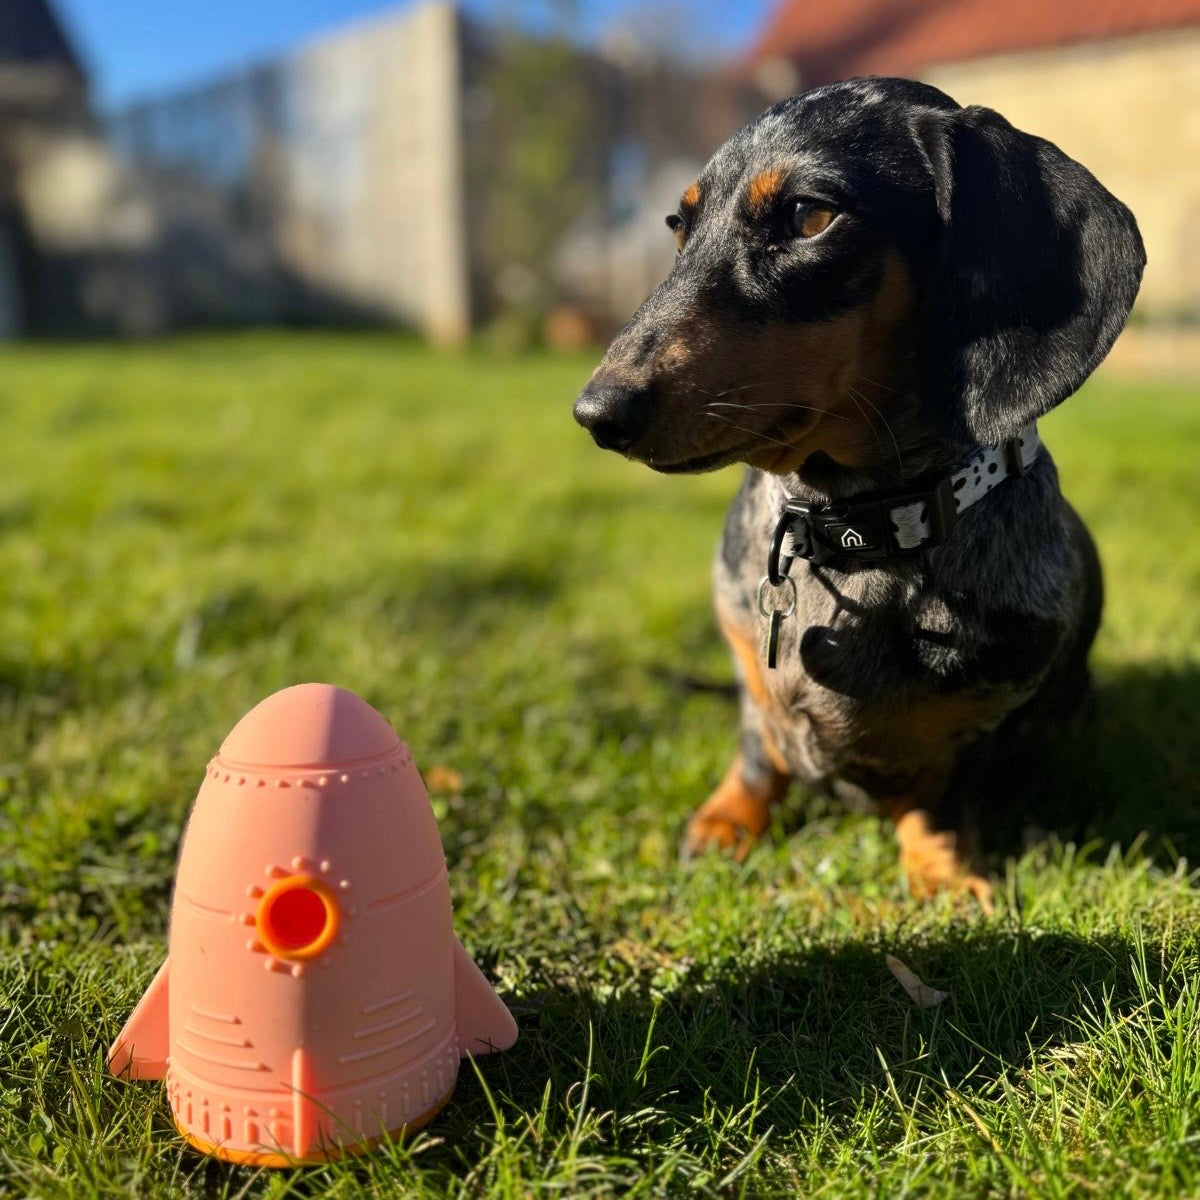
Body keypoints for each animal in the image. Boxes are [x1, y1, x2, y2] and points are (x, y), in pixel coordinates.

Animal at [573, 77, 1145, 906]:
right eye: (680, 227)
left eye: (809, 216)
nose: (597, 412)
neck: (849, 531)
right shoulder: (750, 677)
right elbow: (758, 750)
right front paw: (727, 819)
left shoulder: (979, 724)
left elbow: (938, 798)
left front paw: (942, 871)